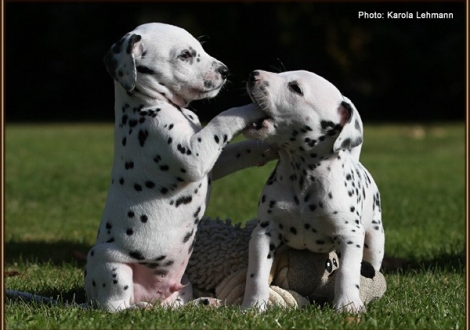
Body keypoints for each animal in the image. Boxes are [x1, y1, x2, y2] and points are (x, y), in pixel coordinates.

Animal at [86, 23, 274, 312]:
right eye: (185, 55)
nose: (224, 71)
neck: (152, 105)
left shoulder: (212, 160)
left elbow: (237, 151)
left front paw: (268, 148)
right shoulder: (193, 156)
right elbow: (222, 119)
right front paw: (249, 108)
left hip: (182, 284)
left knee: (174, 306)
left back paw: (205, 302)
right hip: (111, 266)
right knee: (114, 306)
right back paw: (138, 309)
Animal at [241, 69, 384, 312]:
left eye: (295, 88)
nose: (253, 74)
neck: (302, 177)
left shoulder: (350, 235)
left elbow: (348, 272)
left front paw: (348, 305)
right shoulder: (265, 232)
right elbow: (257, 273)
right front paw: (253, 306)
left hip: (374, 238)